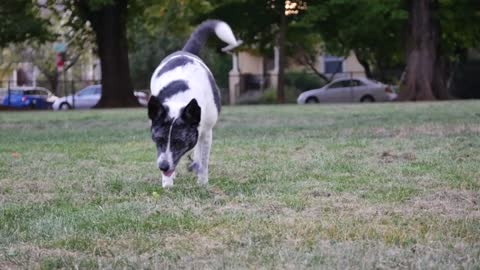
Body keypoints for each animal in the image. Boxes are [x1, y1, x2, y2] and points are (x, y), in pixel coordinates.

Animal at [147, 20, 239, 188]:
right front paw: (167, 183)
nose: (163, 167)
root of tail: (184, 52)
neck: (180, 99)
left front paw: (202, 183)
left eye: (178, 142)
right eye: (159, 140)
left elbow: (203, 159)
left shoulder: (207, 131)